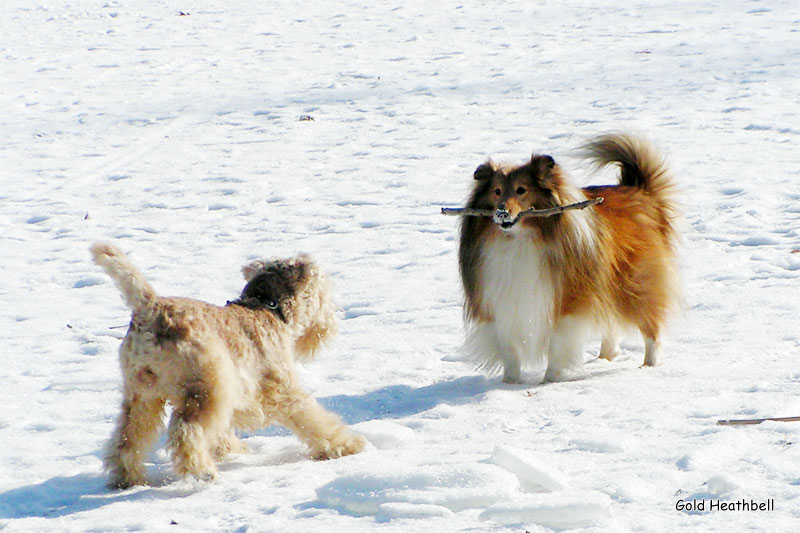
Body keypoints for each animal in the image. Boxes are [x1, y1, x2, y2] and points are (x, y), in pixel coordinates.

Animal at [90, 243, 366, 488]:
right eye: (322, 290)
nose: (329, 324)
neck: (268, 308)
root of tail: (149, 308)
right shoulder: (282, 390)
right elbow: (314, 419)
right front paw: (347, 445)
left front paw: (231, 449)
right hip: (205, 391)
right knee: (185, 431)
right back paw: (203, 471)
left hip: (142, 396)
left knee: (127, 439)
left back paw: (127, 479)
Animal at [460, 133, 680, 382]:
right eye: (496, 191)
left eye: (521, 190)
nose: (502, 213)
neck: (520, 237)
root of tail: (640, 191)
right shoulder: (500, 304)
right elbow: (510, 351)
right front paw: (510, 383)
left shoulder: (567, 302)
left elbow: (556, 345)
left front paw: (550, 380)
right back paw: (605, 356)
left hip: (633, 283)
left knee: (651, 326)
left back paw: (649, 364)